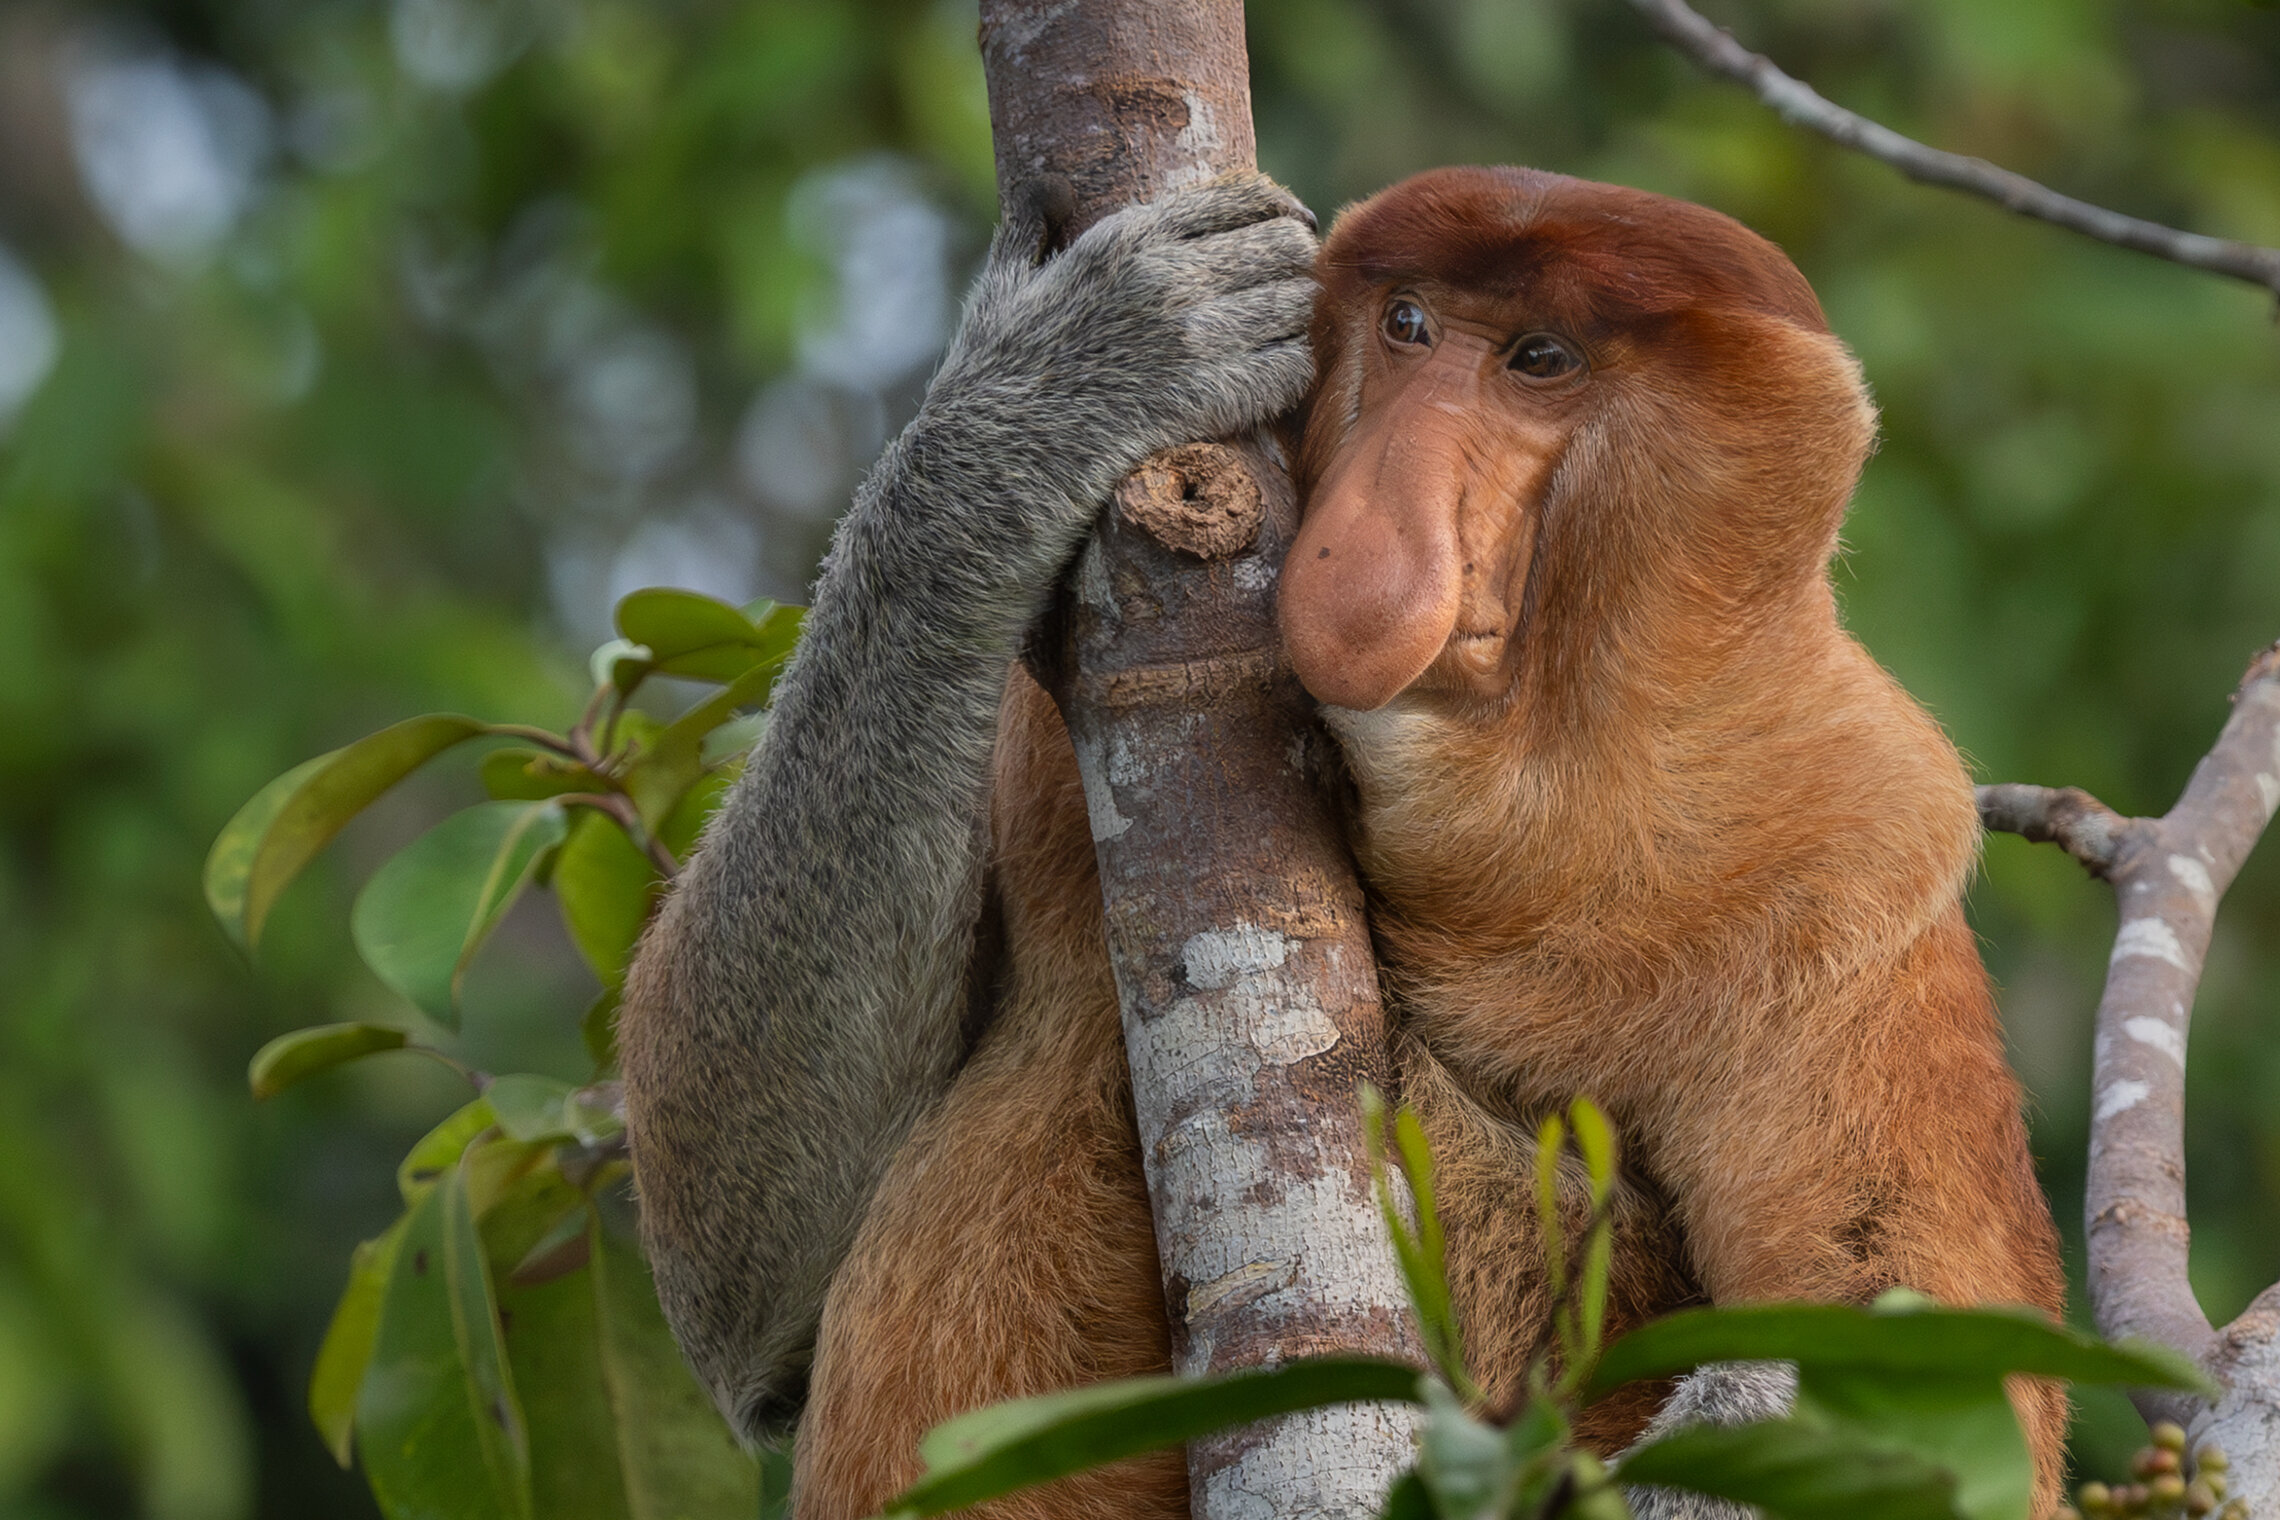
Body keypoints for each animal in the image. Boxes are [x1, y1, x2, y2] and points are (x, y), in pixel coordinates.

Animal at [615, 166, 2079, 1520]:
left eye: (1541, 359)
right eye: (1409, 324)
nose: (1364, 544)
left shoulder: (1857, 853)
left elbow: (1934, 1351)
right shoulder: (1061, 705)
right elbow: (749, 1303)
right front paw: (1062, 382)